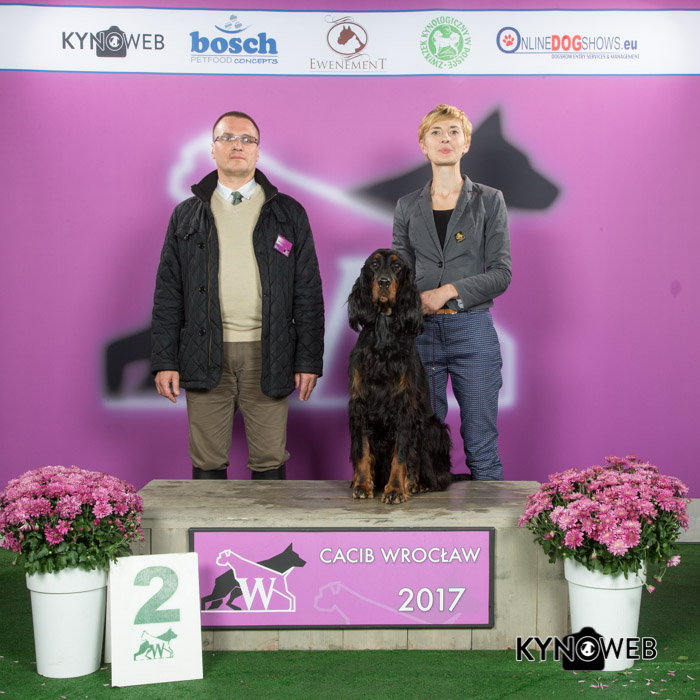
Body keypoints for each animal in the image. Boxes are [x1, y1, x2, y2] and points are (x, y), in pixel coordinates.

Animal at [347, 249, 452, 504]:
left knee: (439, 477)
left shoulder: (405, 407)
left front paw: (395, 489)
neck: (384, 331)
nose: (384, 282)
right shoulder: (360, 403)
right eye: (374, 265)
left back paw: (417, 483)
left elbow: (401, 453)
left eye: (397, 267)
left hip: (434, 428)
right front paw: (362, 484)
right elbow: (362, 450)